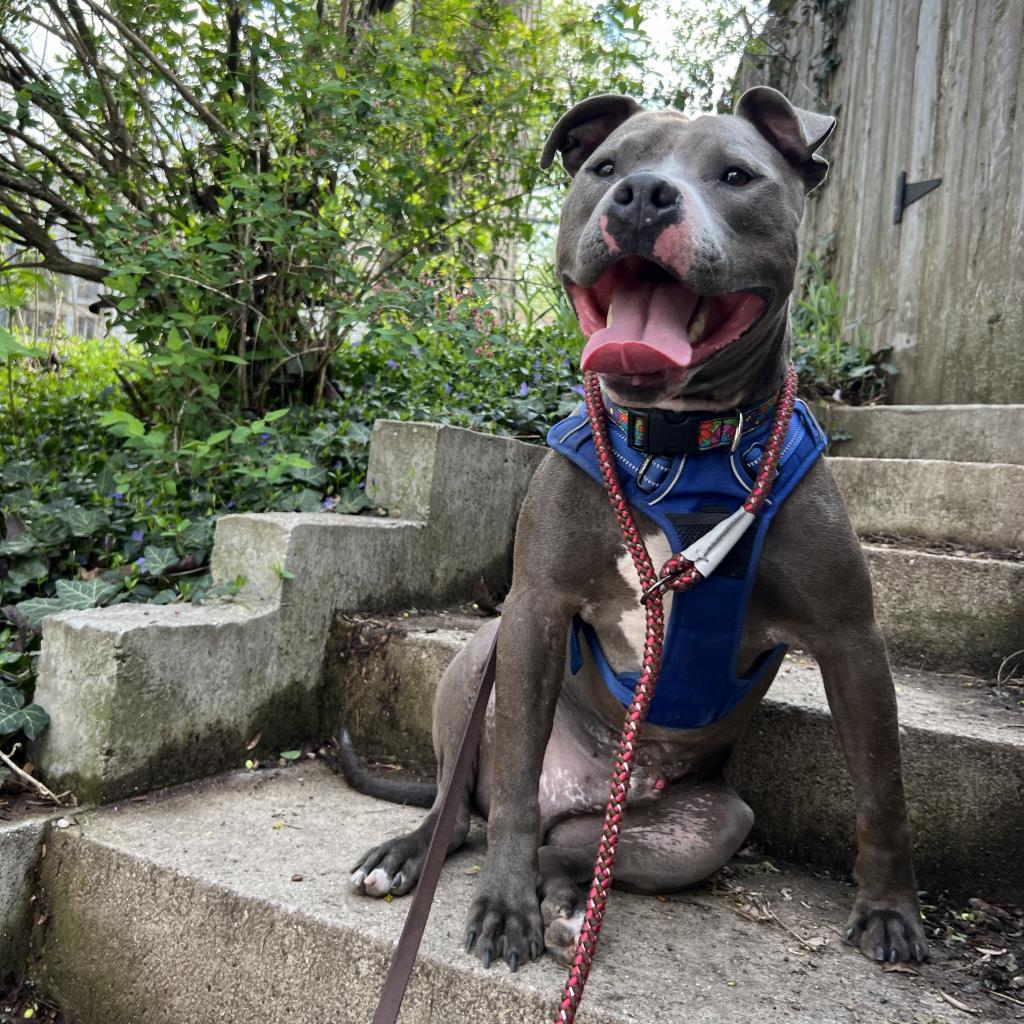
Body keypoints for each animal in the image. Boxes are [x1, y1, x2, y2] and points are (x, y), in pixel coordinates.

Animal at [346, 86, 929, 966]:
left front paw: (891, 908)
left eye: (735, 175)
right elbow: (509, 792)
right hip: (476, 668)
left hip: (709, 824)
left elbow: (883, 789)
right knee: (471, 810)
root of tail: (582, 790)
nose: (645, 195)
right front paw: (504, 908)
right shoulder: (535, 611)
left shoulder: (851, 641)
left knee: (572, 848)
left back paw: (566, 906)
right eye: (604, 166)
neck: (680, 443)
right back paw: (416, 853)